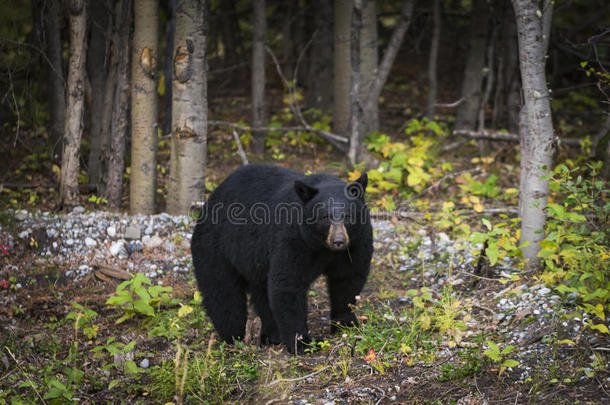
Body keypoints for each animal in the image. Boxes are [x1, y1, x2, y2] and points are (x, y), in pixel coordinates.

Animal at [191, 163, 370, 352]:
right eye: (325, 217)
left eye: (348, 216)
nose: (338, 241)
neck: (322, 247)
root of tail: (212, 198)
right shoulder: (293, 238)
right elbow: (287, 284)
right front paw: (302, 342)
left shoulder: (357, 242)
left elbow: (348, 279)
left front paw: (346, 325)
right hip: (215, 246)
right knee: (223, 292)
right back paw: (234, 334)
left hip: (255, 260)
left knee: (261, 292)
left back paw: (272, 335)